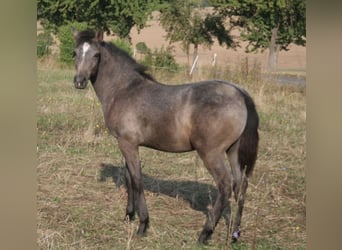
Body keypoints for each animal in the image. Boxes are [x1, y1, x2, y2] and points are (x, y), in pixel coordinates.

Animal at [73, 29, 260, 244]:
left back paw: (205, 234)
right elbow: (129, 177)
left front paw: (143, 224)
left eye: (96, 55)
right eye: (74, 53)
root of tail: (239, 93)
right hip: (233, 151)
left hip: (211, 153)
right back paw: (234, 234)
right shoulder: (126, 144)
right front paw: (129, 215)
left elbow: (137, 179)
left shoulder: (128, 143)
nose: (79, 81)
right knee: (240, 186)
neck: (124, 90)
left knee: (225, 186)